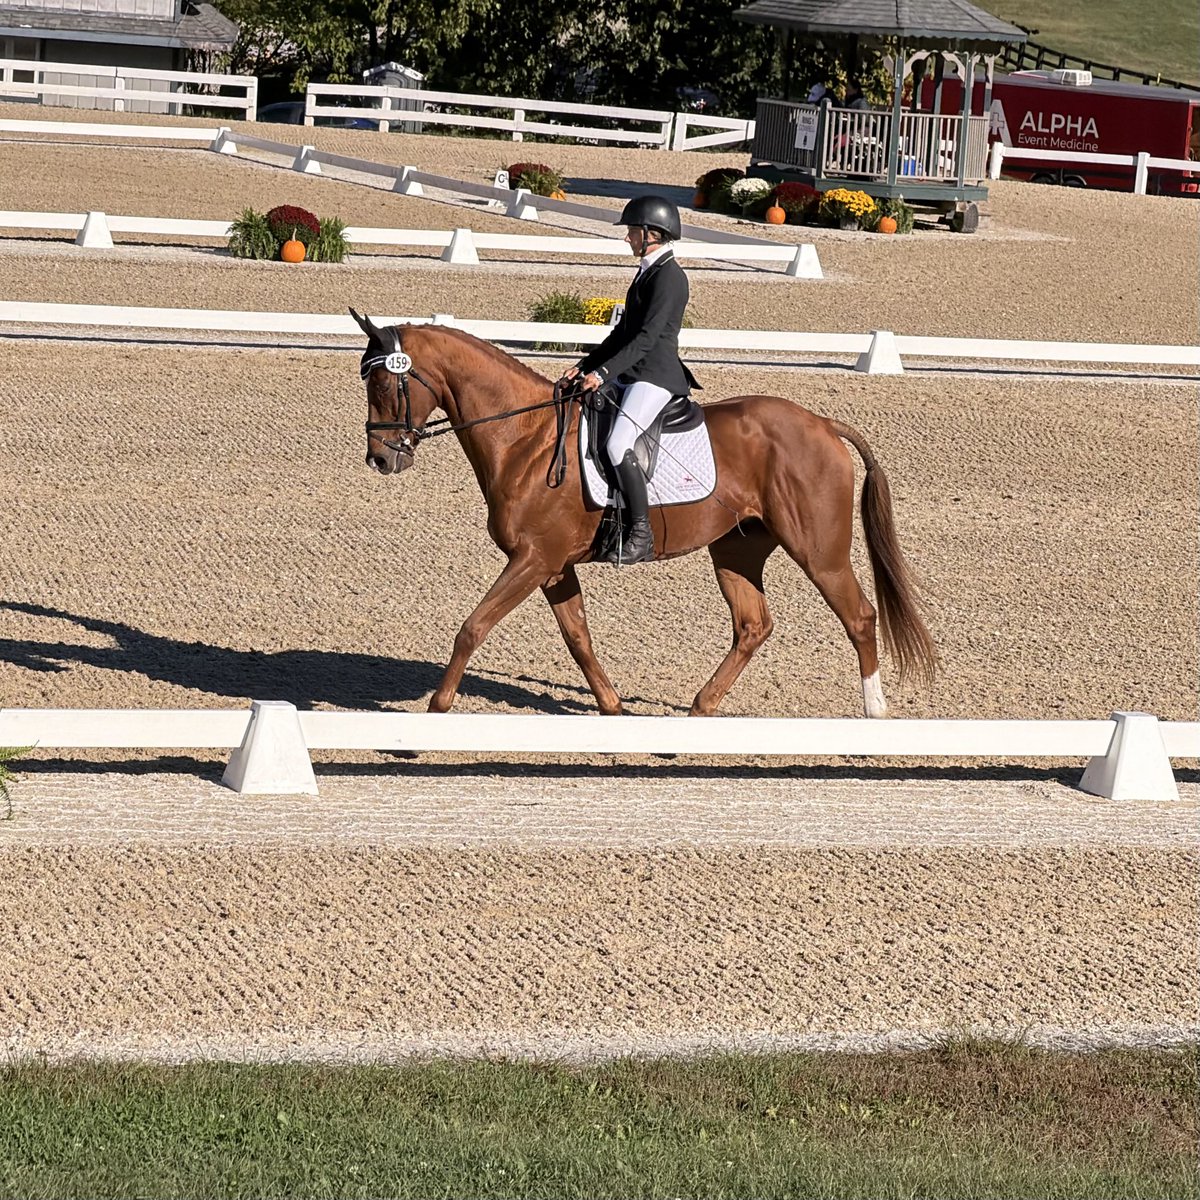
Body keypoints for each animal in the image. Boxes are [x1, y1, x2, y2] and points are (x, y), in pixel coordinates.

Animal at [352, 311, 936, 718]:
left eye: (383, 384)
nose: (380, 459)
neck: (526, 439)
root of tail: (821, 423)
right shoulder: (553, 565)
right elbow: (579, 639)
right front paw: (613, 709)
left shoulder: (534, 559)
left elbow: (472, 628)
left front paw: (436, 711)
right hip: (737, 548)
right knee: (753, 625)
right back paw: (700, 709)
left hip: (818, 551)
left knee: (859, 617)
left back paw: (873, 714)